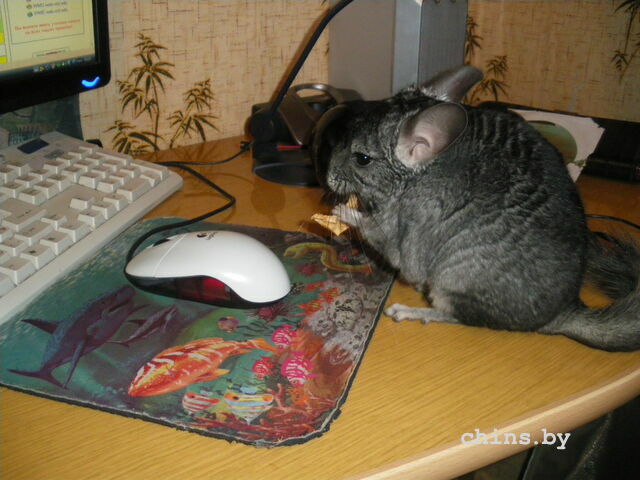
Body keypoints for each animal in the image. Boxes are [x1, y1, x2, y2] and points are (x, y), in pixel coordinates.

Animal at [313, 65, 640, 352]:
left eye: (362, 159)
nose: (327, 176)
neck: (423, 170)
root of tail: (562, 312)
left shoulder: (406, 225)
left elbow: (378, 235)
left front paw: (343, 212)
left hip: (453, 279)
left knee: (460, 317)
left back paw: (409, 311)